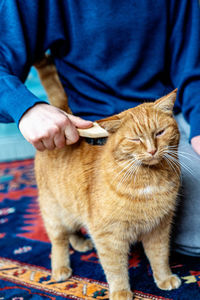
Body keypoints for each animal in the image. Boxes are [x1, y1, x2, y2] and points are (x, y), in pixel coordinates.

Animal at [34, 55, 181, 298]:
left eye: (160, 133)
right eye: (135, 139)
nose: (152, 150)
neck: (148, 178)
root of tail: (64, 111)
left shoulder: (159, 228)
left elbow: (159, 257)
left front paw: (164, 278)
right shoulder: (108, 236)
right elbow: (116, 269)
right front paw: (121, 292)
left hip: (70, 206)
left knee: (72, 228)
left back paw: (81, 243)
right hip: (53, 210)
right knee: (58, 240)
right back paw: (60, 268)